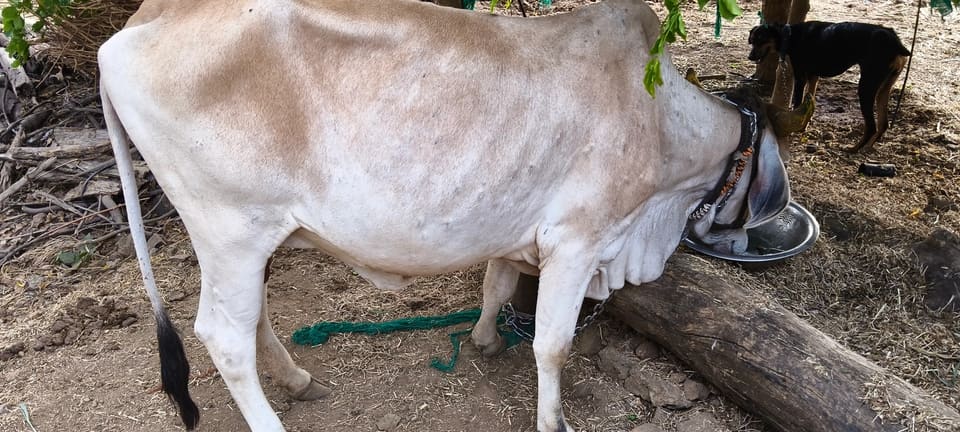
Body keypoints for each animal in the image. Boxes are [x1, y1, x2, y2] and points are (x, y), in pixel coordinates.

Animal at [98, 0, 791, 430]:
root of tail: (137, 21)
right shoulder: (578, 239)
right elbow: (553, 347)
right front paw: (554, 419)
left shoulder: (517, 232)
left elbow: (497, 284)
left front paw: (484, 339)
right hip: (229, 229)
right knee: (224, 337)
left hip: (245, 238)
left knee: (248, 320)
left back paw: (296, 380)